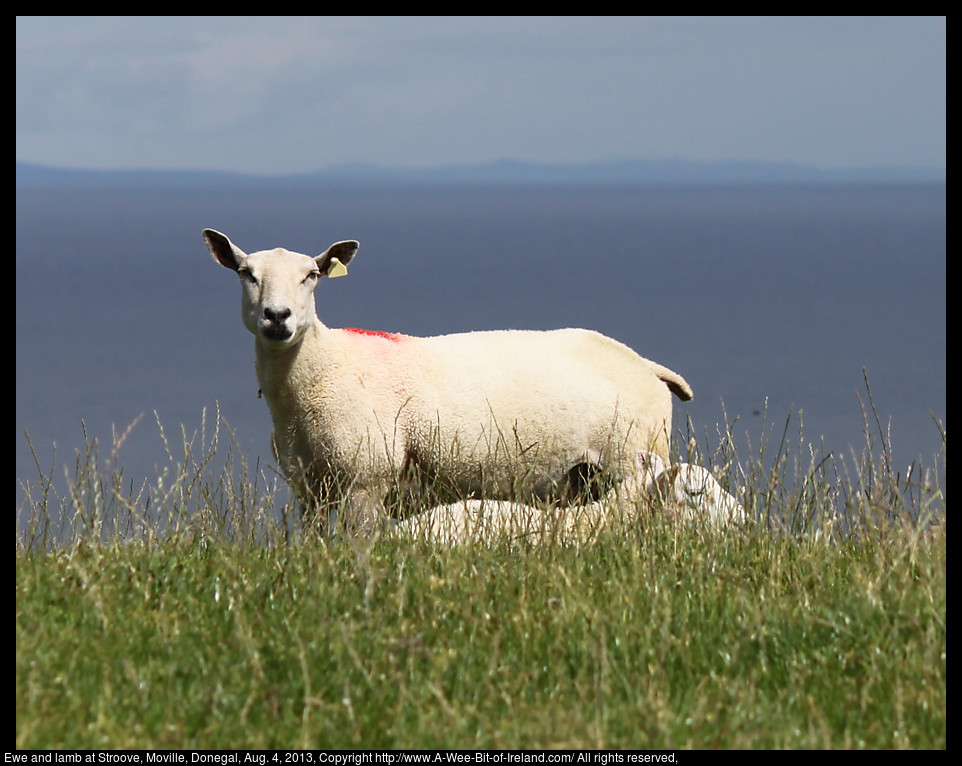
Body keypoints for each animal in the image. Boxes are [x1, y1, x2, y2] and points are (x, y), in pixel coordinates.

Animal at [206, 230, 692, 536]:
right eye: (246, 273)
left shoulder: (366, 484)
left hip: (634, 455)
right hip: (583, 476)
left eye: (312, 275)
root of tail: (644, 363)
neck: (321, 371)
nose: (278, 317)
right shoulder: (308, 489)